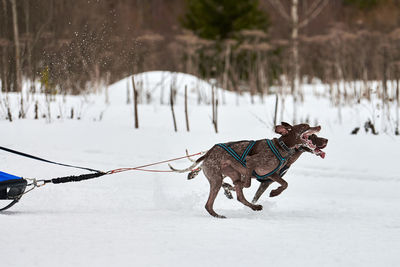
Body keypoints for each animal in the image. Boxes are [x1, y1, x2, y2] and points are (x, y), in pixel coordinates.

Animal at [170, 122, 326, 219]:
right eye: (305, 126)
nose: (319, 126)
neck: (282, 147)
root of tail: (208, 153)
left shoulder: (271, 175)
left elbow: (285, 184)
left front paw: (274, 193)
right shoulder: (250, 163)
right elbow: (248, 184)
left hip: (230, 173)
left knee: (239, 197)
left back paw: (252, 206)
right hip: (217, 178)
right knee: (210, 204)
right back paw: (220, 213)